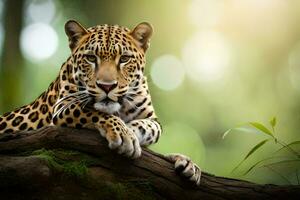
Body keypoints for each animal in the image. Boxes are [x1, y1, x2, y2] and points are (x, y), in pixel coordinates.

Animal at [0, 19, 202, 185]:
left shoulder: (152, 119)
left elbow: (150, 128)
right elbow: (96, 112)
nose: (107, 86)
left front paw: (185, 162)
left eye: (124, 59)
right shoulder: (63, 107)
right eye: (91, 58)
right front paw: (125, 135)